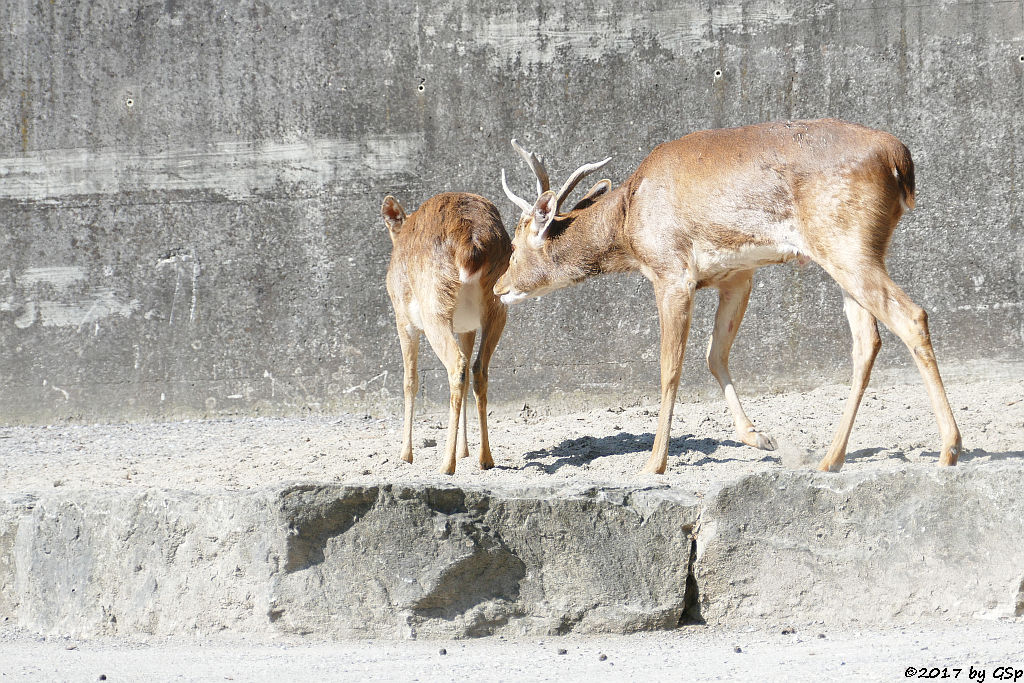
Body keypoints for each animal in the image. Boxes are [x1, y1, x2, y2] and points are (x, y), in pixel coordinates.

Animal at [380, 192, 512, 475]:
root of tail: (472, 245)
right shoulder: (466, 327)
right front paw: (465, 452)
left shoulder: (403, 320)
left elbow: (409, 381)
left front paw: (405, 455)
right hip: (498, 305)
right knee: (477, 369)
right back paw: (485, 458)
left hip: (434, 309)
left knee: (457, 365)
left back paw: (446, 465)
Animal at [493, 118, 958, 475]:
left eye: (514, 245)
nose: (498, 288)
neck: (629, 224)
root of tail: (899, 160)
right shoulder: (736, 276)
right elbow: (714, 355)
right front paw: (759, 436)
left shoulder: (673, 273)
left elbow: (670, 368)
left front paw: (653, 464)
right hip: (851, 254)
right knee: (868, 340)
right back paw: (830, 459)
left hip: (846, 243)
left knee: (912, 316)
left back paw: (949, 450)